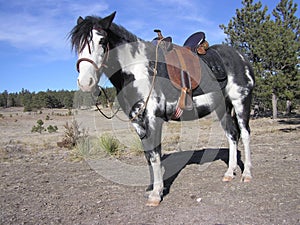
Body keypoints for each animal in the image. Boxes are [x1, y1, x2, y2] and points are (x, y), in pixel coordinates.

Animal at [70, 11, 255, 206]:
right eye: (78, 45)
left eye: (102, 41)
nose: (85, 82)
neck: (137, 69)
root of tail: (240, 56)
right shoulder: (138, 122)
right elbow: (148, 155)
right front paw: (152, 188)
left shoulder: (153, 119)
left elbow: (155, 155)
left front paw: (156, 194)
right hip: (222, 107)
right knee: (231, 135)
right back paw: (229, 173)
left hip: (241, 101)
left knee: (244, 134)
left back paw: (247, 174)